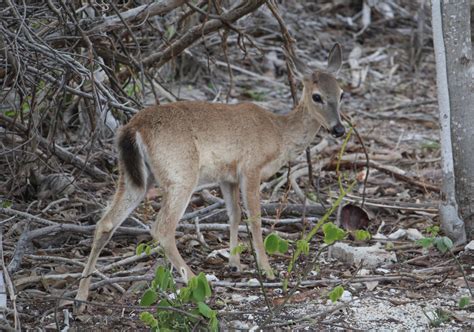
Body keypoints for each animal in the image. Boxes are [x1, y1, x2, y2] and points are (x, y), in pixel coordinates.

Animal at [75, 42, 348, 312]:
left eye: (341, 93)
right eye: (317, 96)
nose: (339, 129)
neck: (279, 135)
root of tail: (133, 128)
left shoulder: (228, 177)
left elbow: (234, 214)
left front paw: (235, 263)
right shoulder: (251, 168)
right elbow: (255, 219)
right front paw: (267, 270)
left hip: (135, 177)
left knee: (105, 223)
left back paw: (81, 295)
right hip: (181, 174)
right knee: (162, 228)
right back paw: (196, 281)